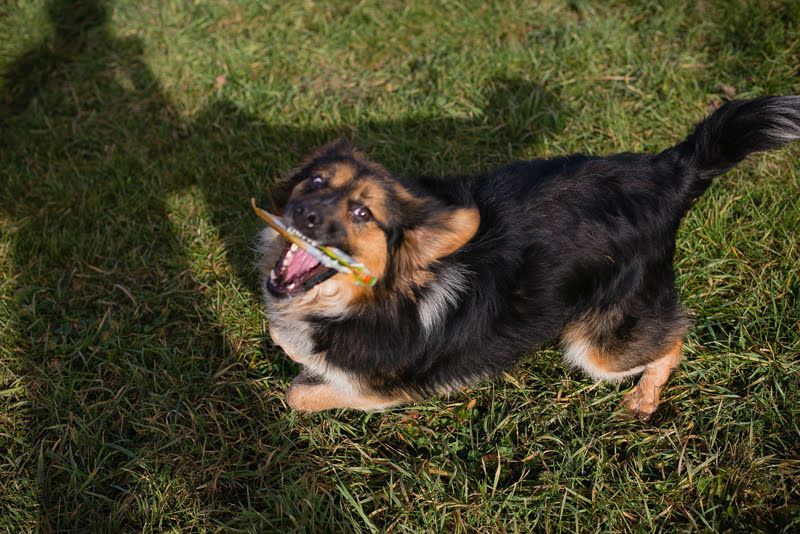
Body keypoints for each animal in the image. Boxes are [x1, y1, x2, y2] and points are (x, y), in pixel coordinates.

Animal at [258, 96, 800, 419]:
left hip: (597, 347)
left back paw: (644, 398)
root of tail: (672, 172)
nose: (304, 214)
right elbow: (283, 338)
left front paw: (301, 375)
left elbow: (299, 392)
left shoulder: (381, 390)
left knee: (673, 340)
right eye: (315, 181)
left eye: (362, 212)